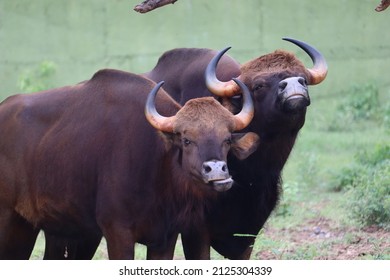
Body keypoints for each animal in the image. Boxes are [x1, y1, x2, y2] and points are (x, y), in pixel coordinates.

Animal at [0, 69, 258, 260]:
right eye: (186, 140)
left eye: (226, 139)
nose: (216, 171)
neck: (158, 170)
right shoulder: (118, 233)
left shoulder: (166, 237)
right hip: (10, 219)